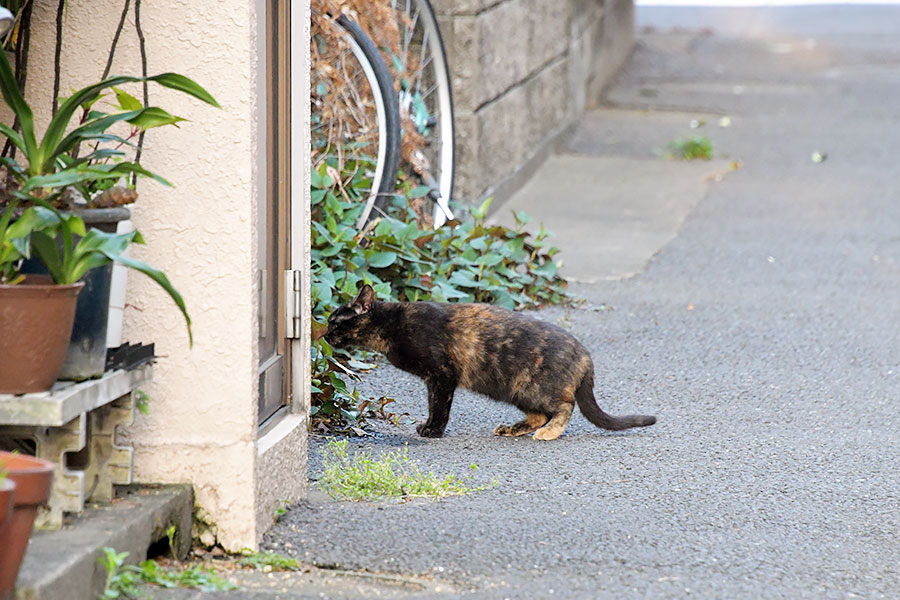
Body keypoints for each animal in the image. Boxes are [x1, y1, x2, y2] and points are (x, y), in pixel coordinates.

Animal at [326, 286, 656, 440]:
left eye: (335, 322)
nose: (325, 334)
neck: (391, 325)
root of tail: (585, 354)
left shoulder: (441, 376)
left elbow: (438, 407)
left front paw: (433, 430)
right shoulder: (436, 379)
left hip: (534, 388)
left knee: (564, 406)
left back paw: (549, 432)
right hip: (517, 391)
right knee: (539, 414)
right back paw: (512, 429)